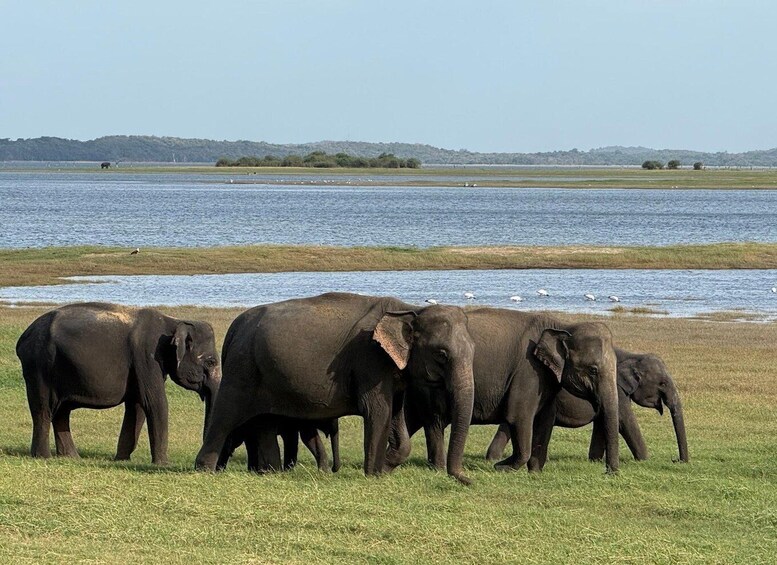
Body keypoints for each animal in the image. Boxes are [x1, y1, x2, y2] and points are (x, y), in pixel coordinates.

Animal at [16, 302, 221, 464]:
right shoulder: (147, 356)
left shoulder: (142, 366)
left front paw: (122, 460)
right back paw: (43, 457)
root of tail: (24, 336)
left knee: (61, 411)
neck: (173, 322)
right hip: (39, 364)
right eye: (211, 362)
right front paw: (163, 464)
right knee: (43, 409)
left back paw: (72, 457)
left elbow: (137, 406)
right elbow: (154, 403)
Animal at [195, 292, 476, 484]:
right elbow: (377, 412)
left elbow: (396, 416)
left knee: (264, 422)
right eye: (441, 354)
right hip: (242, 368)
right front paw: (373, 476)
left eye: (474, 350)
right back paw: (204, 470)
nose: (466, 480)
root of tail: (233, 329)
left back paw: (270, 472)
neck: (410, 309)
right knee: (226, 415)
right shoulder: (370, 359)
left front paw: (385, 467)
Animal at [386, 307, 621, 474]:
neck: (561, 325)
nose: (610, 472)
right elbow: (519, 416)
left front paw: (534, 472)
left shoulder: (545, 379)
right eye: (593, 370)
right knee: (430, 420)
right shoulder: (528, 370)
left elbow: (545, 419)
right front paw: (502, 467)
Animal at [485, 348, 689, 469]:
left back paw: (493, 458)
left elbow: (602, 422)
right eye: (662, 383)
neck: (633, 355)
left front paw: (594, 460)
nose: (676, 460)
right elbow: (625, 421)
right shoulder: (617, 390)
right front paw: (645, 459)